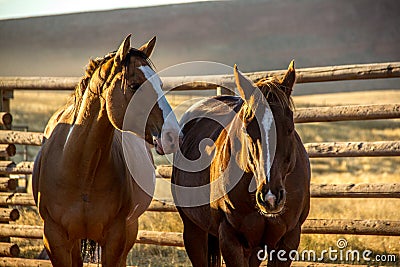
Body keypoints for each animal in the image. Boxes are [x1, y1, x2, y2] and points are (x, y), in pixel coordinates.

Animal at [32, 34, 179, 266]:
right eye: (135, 85)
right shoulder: (54, 239)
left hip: (130, 230)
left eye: (160, 84)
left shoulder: (115, 238)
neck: (82, 169)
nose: (173, 134)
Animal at [171, 61, 310, 266]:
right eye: (246, 129)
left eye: (289, 128)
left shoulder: (288, 240)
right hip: (193, 231)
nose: (270, 197)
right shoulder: (231, 240)